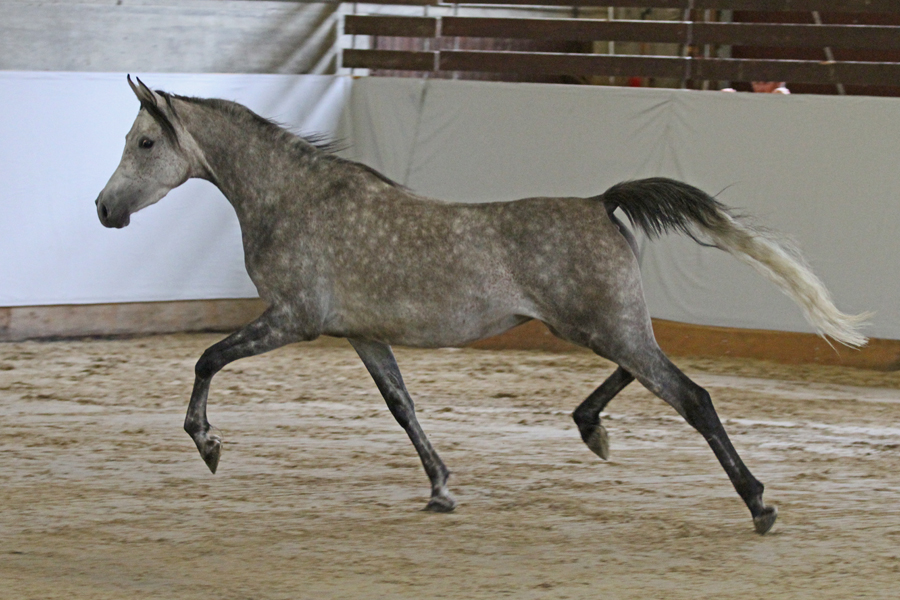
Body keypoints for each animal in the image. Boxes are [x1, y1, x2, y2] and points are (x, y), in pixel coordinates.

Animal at [95, 76, 868, 536]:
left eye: (145, 141)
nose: (105, 210)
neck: (296, 201)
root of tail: (601, 202)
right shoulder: (361, 334)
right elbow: (402, 407)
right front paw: (440, 489)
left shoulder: (293, 320)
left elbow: (206, 359)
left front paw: (208, 444)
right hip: (601, 326)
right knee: (649, 373)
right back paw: (592, 428)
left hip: (604, 326)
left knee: (693, 396)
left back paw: (759, 503)